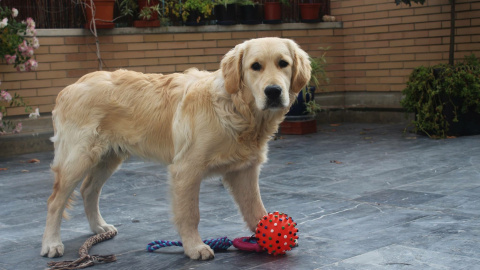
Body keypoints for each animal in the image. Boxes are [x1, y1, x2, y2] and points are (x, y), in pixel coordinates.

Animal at [40, 37, 312, 260]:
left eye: (283, 63)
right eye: (255, 66)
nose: (273, 92)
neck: (235, 108)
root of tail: (70, 88)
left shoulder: (244, 170)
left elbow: (256, 208)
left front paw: (268, 237)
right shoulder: (186, 169)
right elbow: (190, 213)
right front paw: (194, 247)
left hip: (108, 157)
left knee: (88, 190)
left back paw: (99, 227)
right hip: (78, 158)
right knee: (55, 201)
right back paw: (51, 244)